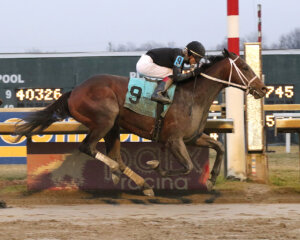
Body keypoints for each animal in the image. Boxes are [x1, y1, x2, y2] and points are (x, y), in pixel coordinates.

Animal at [15, 49, 264, 197]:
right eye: (244, 67)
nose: (262, 89)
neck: (193, 96)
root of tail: (74, 91)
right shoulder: (174, 140)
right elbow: (187, 166)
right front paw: (155, 165)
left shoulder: (192, 138)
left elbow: (219, 147)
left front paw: (212, 179)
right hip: (104, 120)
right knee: (88, 147)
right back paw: (123, 174)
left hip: (113, 127)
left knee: (115, 157)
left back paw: (140, 184)